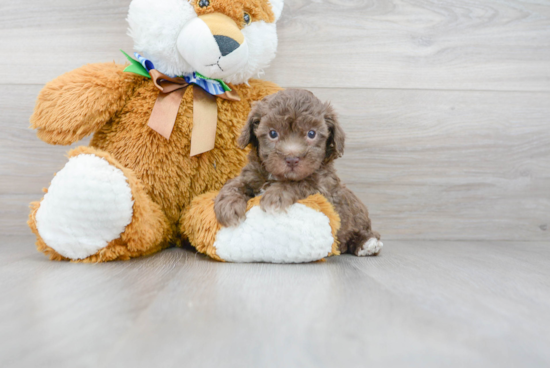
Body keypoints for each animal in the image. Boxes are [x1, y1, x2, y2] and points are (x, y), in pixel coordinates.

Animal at [216, 89, 384, 256]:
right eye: (273, 133)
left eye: (311, 134)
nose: (292, 159)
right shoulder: (251, 175)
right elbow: (234, 185)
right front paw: (228, 206)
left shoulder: (323, 189)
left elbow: (300, 183)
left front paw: (276, 195)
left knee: (365, 231)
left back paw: (367, 244)